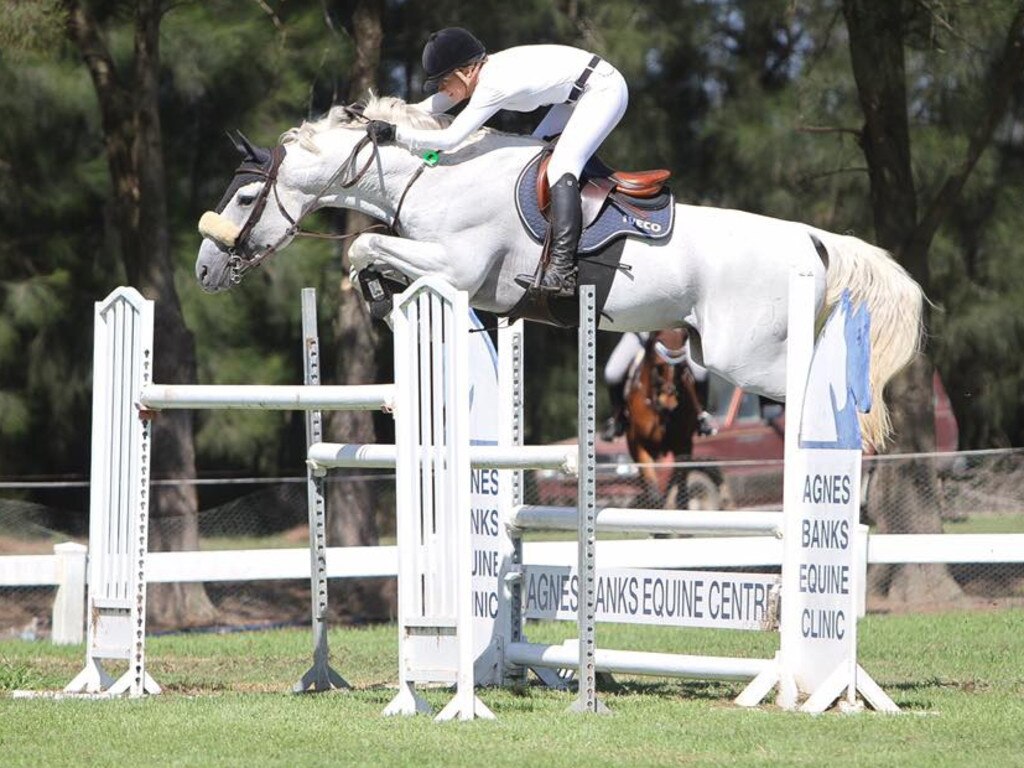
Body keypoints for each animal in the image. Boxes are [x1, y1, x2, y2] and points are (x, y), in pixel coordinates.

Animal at [626, 327, 708, 507]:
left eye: (681, 367)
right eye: (658, 367)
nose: (669, 404)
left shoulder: (683, 445)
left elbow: (681, 492)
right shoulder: (640, 445)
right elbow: (653, 493)